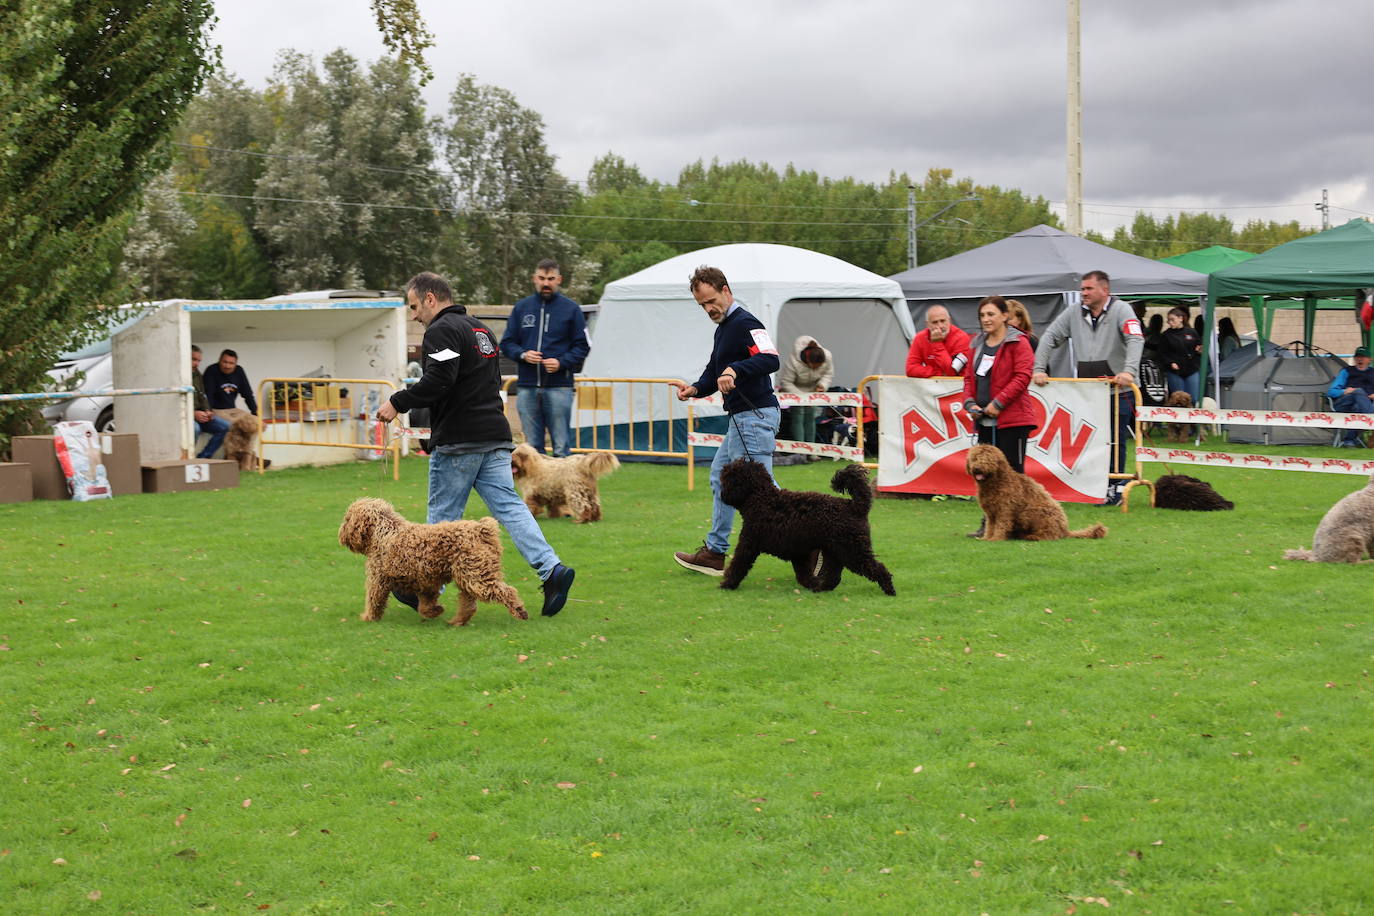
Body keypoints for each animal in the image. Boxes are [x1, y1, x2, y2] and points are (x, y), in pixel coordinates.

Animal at [338, 497, 524, 626]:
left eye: (347, 519)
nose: (340, 535)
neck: (383, 532)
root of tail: (481, 529)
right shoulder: (426, 583)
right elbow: (426, 605)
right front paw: (435, 611)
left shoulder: (378, 580)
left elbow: (374, 600)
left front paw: (368, 618)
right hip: (468, 576)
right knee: (469, 604)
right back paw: (457, 621)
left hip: (476, 575)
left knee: (505, 591)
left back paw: (519, 611)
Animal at [714, 455, 895, 596]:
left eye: (727, 476)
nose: (721, 493)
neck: (760, 497)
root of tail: (855, 505)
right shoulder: (798, 552)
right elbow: (804, 575)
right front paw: (812, 583)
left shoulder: (748, 544)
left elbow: (737, 566)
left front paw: (727, 584)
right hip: (834, 551)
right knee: (834, 575)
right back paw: (822, 588)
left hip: (852, 550)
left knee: (877, 568)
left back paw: (889, 590)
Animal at [961, 444, 1110, 541]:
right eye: (974, 458)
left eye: (987, 459)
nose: (977, 468)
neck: (997, 482)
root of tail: (1065, 530)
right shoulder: (991, 513)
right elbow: (990, 526)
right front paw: (986, 537)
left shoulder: (1004, 510)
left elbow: (1001, 525)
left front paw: (996, 539)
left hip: (1033, 513)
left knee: (1050, 536)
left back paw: (1033, 537)